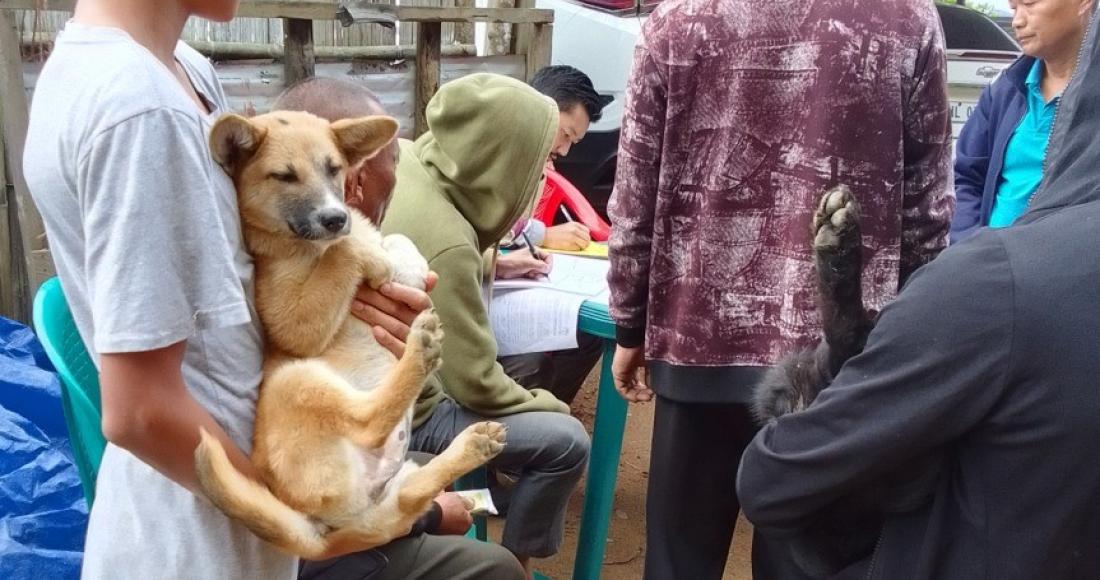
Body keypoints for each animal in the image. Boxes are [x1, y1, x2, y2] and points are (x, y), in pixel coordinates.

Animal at [194, 111, 506, 561]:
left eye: (334, 169)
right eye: (283, 176)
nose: (336, 218)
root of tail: (323, 534)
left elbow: (395, 238)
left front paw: (402, 261)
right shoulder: (293, 323)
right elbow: (344, 251)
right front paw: (374, 261)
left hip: (399, 483)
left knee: (410, 497)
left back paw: (471, 446)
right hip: (296, 380)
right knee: (369, 420)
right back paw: (420, 351)